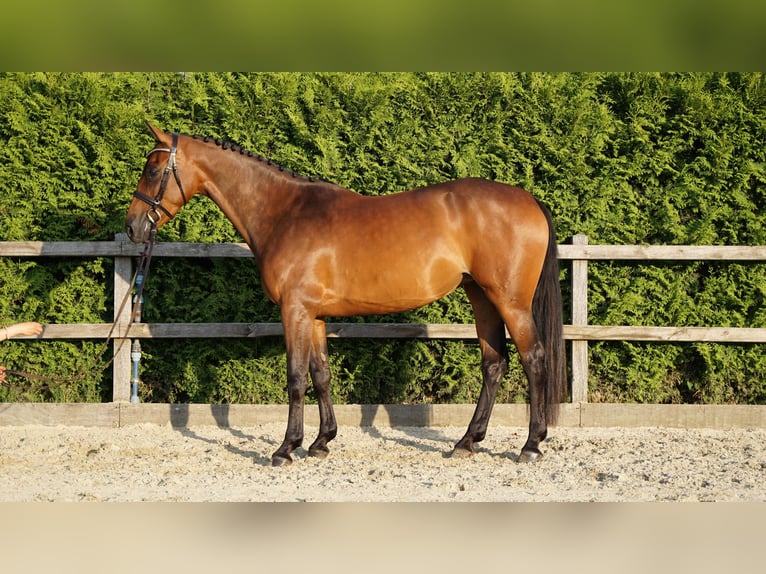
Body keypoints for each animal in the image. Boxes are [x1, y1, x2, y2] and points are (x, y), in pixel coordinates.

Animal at [126, 123, 567, 467]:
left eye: (152, 168)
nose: (132, 226)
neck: (284, 213)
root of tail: (529, 199)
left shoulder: (294, 311)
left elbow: (295, 378)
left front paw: (285, 448)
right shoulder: (314, 315)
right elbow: (321, 375)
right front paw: (321, 442)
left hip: (509, 301)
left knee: (534, 359)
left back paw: (530, 445)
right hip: (481, 297)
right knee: (494, 363)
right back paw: (467, 442)